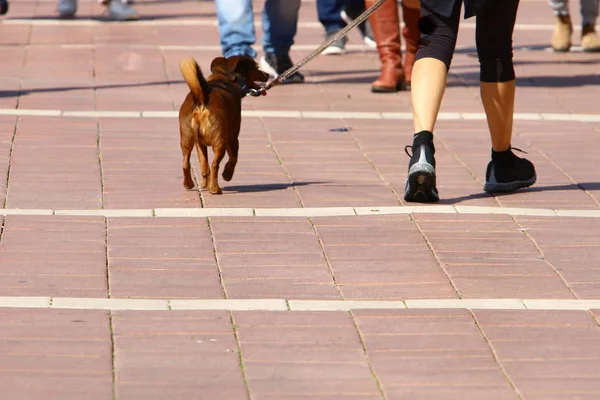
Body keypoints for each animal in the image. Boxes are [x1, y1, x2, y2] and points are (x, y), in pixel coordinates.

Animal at [178, 55, 270, 194]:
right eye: (256, 68)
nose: (268, 74)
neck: (224, 77)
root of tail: (202, 100)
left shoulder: (200, 143)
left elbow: (204, 165)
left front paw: (204, 184)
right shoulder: (232, 138)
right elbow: (233, 158)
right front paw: (227, 174)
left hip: (187, 138)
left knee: (186, 163)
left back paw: (189, 184)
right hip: (220, 141)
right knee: (215, 164)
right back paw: (215, 189)